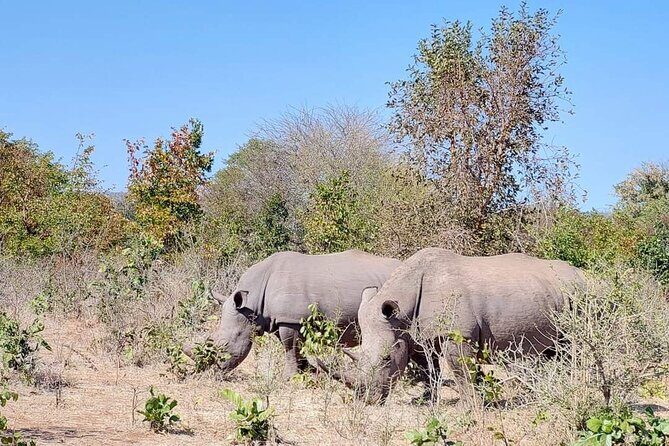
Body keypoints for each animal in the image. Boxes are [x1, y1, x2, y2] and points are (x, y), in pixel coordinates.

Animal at [184, 250, 401, 378]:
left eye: (225, 345)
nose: (210, 373)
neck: (252, 303)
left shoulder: (290, 319)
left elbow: (289, 348)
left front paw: (289, 377)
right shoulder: (285, 319)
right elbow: (296, 348)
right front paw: (308, 372)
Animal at [331, 248, 584, 402]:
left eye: (385, 359)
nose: (365, 400)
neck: (402, 306)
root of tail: (583, 275)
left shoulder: (456, 333)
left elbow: (461, 371)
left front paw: (470, 408)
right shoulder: (415, 333)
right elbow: (428, 368)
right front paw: (427, 400)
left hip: (581, 294)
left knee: (574, 347)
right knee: (554, 350)